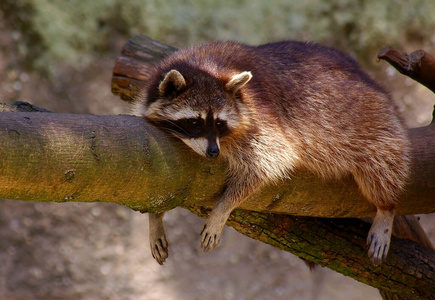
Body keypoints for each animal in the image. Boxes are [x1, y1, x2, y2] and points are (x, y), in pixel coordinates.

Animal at [134, 39, 412, 264]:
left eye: (220, 123)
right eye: (194, 122)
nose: (213, 151)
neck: (205, 64)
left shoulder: (263, 118)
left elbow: (267, 163)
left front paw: (222, 209)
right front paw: (155, 219)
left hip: (370, 119)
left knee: (382, 161)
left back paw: (386, 207)